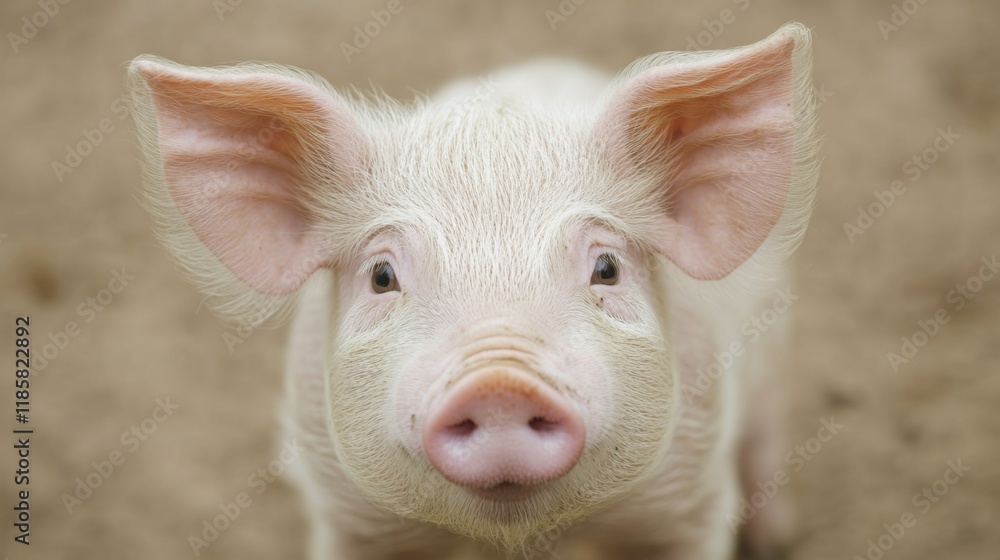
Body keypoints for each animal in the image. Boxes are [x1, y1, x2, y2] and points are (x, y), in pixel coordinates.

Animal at [127, 22, 818, 560]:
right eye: (382, 276)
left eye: (607, 268)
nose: (501, 381)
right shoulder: (346, 512)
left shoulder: (690, 497)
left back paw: (781, 538)